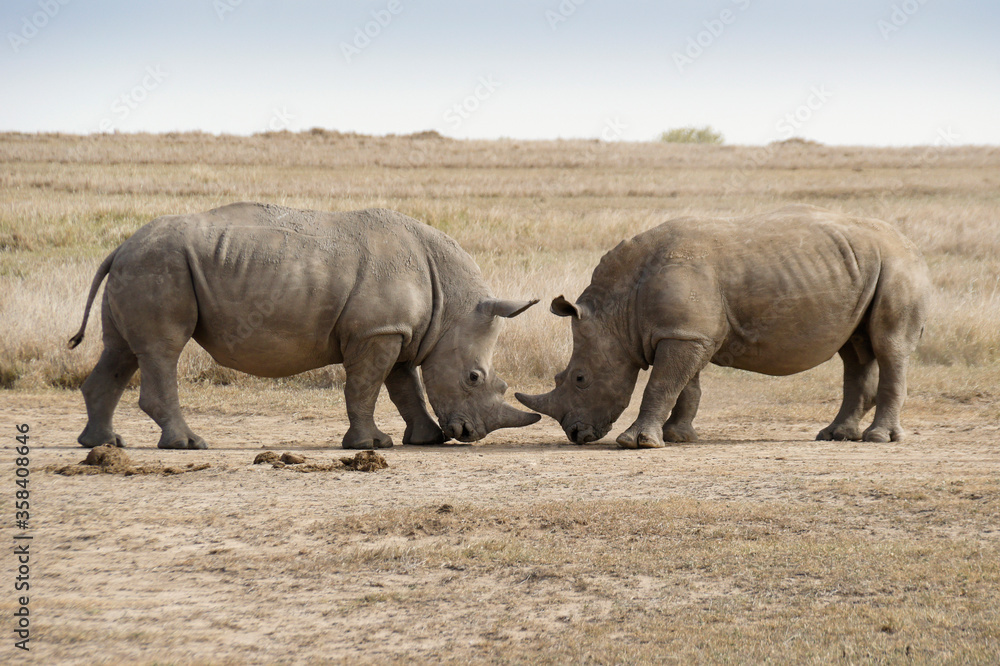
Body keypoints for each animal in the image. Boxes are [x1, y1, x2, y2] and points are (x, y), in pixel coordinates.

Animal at [69, 202, 540, 450]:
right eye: (474, 377)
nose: (471, 434)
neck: (453, 308)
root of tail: (119, 247)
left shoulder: (398, 331)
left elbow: (405, 388)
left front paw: (424, 440)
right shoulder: (378, 331)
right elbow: (365, 387)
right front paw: (370, 446)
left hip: (140, 265)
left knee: (121, 351)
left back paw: (102, 444)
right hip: (159, 265)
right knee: (163, 349)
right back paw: (188, 445)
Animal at [517, 205, 930, 448]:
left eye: (580, 379)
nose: (575, 434)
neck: (618, 312)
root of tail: (911, 244)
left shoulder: (684, 334)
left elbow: (661, 385)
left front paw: (637, 443)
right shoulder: (688, 332)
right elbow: (685, 387)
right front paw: (678, 437)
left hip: (897, 266)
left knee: (889, 346)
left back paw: (878, 439)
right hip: (864, 267)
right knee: (855, 353)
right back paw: (835, 436)